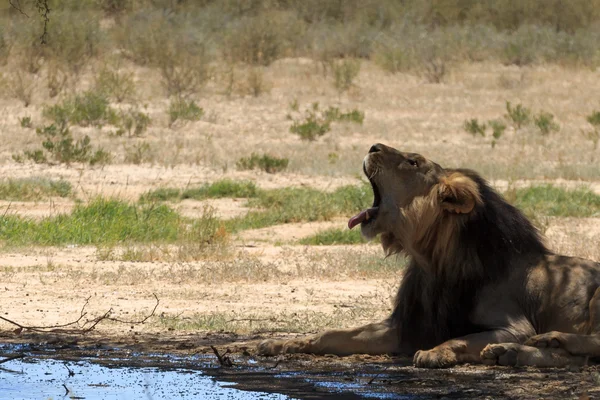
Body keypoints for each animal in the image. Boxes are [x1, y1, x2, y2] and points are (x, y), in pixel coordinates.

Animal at [256, 142, 600, 368]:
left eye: (413, 162)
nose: (373, 146)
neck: (433, 263)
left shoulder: (517, 325)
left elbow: (463, 337)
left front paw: (435, 352)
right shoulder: (404, 326)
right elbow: (331, 334)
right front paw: (280, 342)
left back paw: (544, 340)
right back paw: (514, 352)